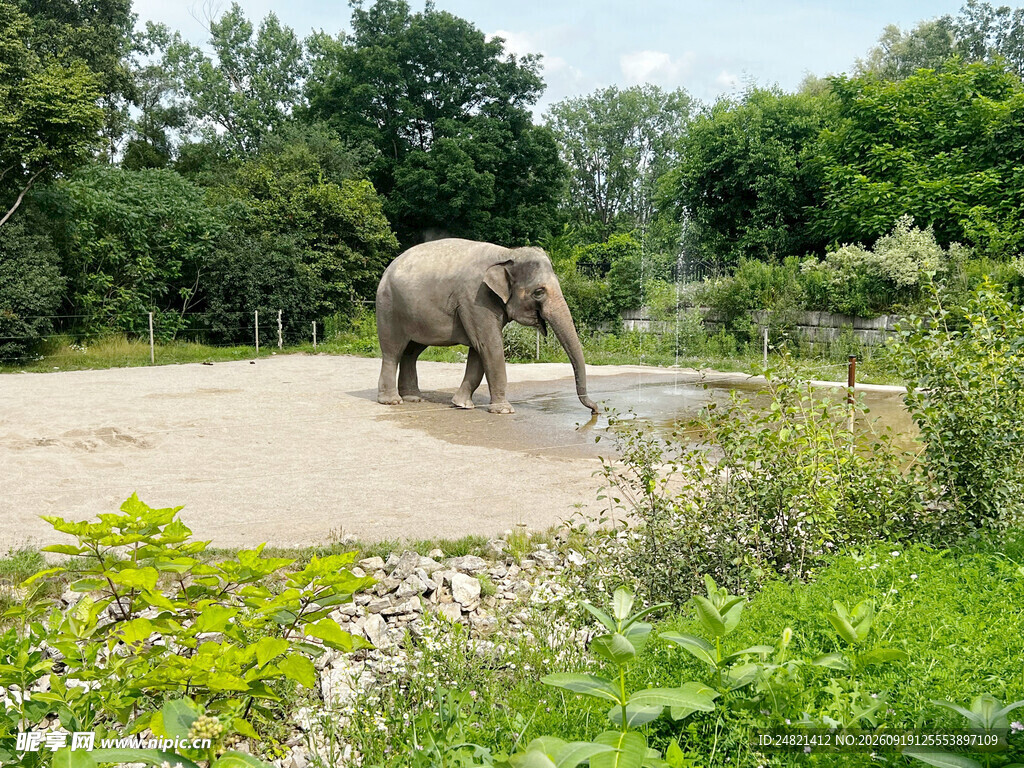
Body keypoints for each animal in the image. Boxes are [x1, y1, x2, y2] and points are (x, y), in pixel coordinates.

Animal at [375, 238, 599, 415]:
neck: (508, 253)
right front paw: (504, 411)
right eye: (538, 292)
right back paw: (392, 401)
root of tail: (387, 269)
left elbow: (479, 351)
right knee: (393, 351)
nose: (596, 410)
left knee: (411, 352)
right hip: (389, 307)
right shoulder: (476, 299)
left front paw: (462, 404)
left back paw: (413, 398)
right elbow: (490, 346)